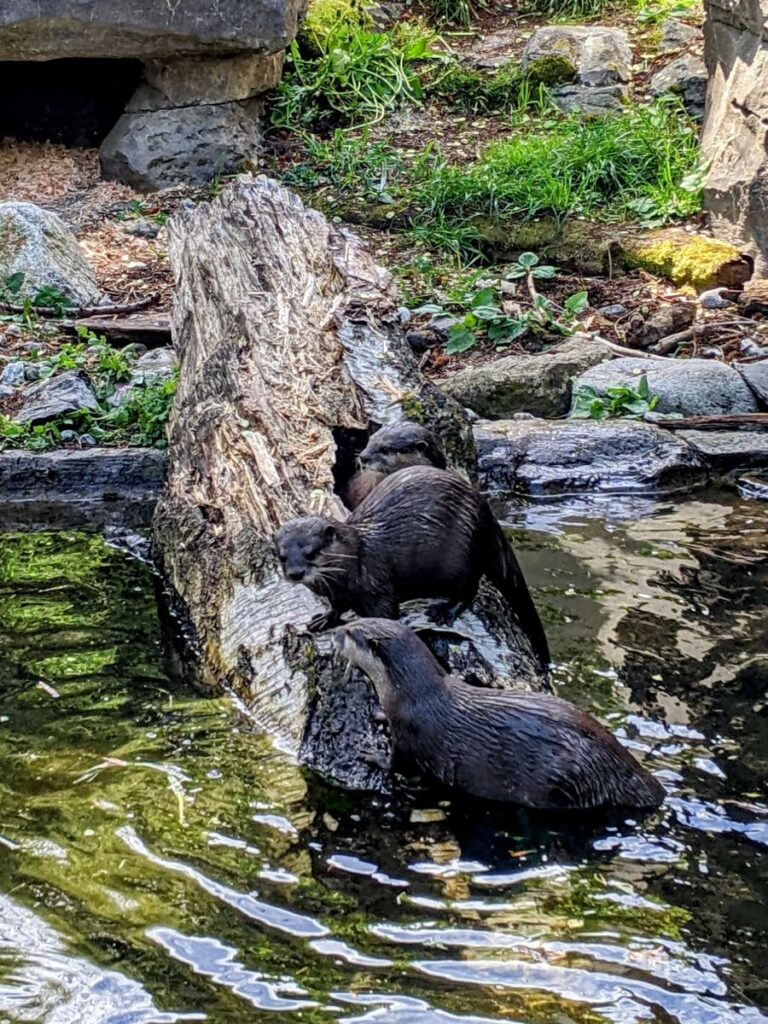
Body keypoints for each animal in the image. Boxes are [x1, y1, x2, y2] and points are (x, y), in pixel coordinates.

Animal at [274, 466, 548, 671]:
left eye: (311, 552)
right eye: (282, 556)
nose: (295, 573)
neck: (354, 564)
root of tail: (482, 507)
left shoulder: (378, 584)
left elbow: (385, 613)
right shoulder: (337, 594)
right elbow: (336, 607)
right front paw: (323, 619)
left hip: (459, 558)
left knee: (471, 586)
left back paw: (445, 611)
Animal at [335, 618, 667, 811]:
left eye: (351, 633)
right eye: (354, 619)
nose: (335, 632)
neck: (413, 696)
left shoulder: (412, 734)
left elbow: (398, 764)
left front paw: (372, 756)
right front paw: (379, 714)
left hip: (566, 777)